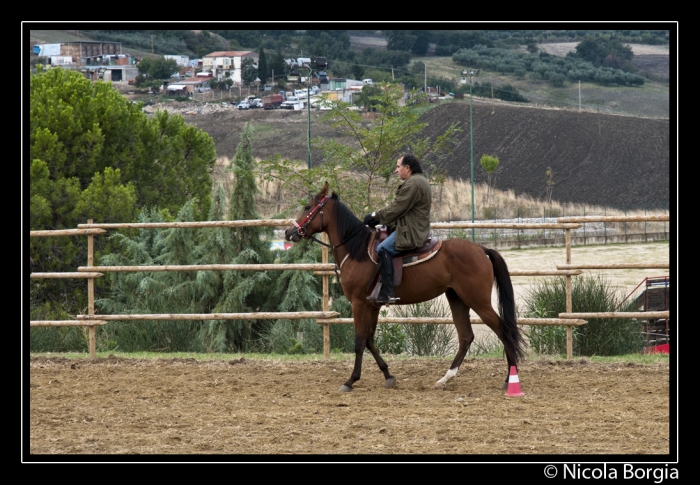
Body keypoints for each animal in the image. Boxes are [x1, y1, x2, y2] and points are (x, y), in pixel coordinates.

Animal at [286, 183, 524, 392]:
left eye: (307, 206)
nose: (289, 232)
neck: (357, 251)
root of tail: (481, 249)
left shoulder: (359, 304)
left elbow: (359, 342)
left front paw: (351, 380)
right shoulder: (372, 306)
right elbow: (370, 340)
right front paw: (388, 375)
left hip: (477, 301)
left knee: (503, 330)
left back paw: (509, 379)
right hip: (457, 298)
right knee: (466, 337)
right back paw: (445, 379)